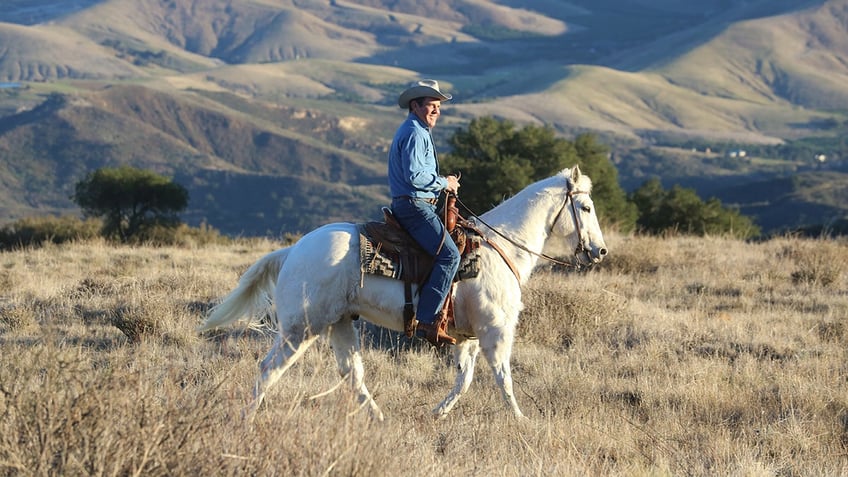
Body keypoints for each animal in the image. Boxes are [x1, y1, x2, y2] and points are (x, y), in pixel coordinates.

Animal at [199, 166, 608, 420]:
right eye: (585, 207)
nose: (601, 251)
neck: (500, 247)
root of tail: (292, 251)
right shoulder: (496, 330)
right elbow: (503, 378)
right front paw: (521, 420)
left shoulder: (469, 337)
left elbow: (464, 379)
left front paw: (437, 413)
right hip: (301, 329)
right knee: (270, 369)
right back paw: (247, 417)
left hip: (341, 324)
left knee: (352, 375)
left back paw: (379, 418)